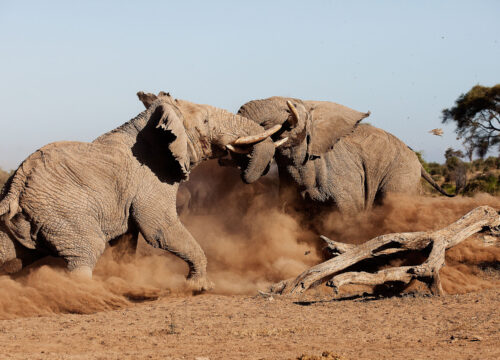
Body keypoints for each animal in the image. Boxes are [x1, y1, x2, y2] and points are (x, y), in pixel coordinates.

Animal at [0, 92, 286, 290]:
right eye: (205, 120)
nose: (239, 166)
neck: (150, 125)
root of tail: (17, 183)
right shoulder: (151, 178)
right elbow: (159, 229)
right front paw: (200, 287)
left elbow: (127, 238)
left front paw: (123, 276)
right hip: (63, 211)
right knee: (87, 249)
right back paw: (87, 294)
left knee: (11, 255)